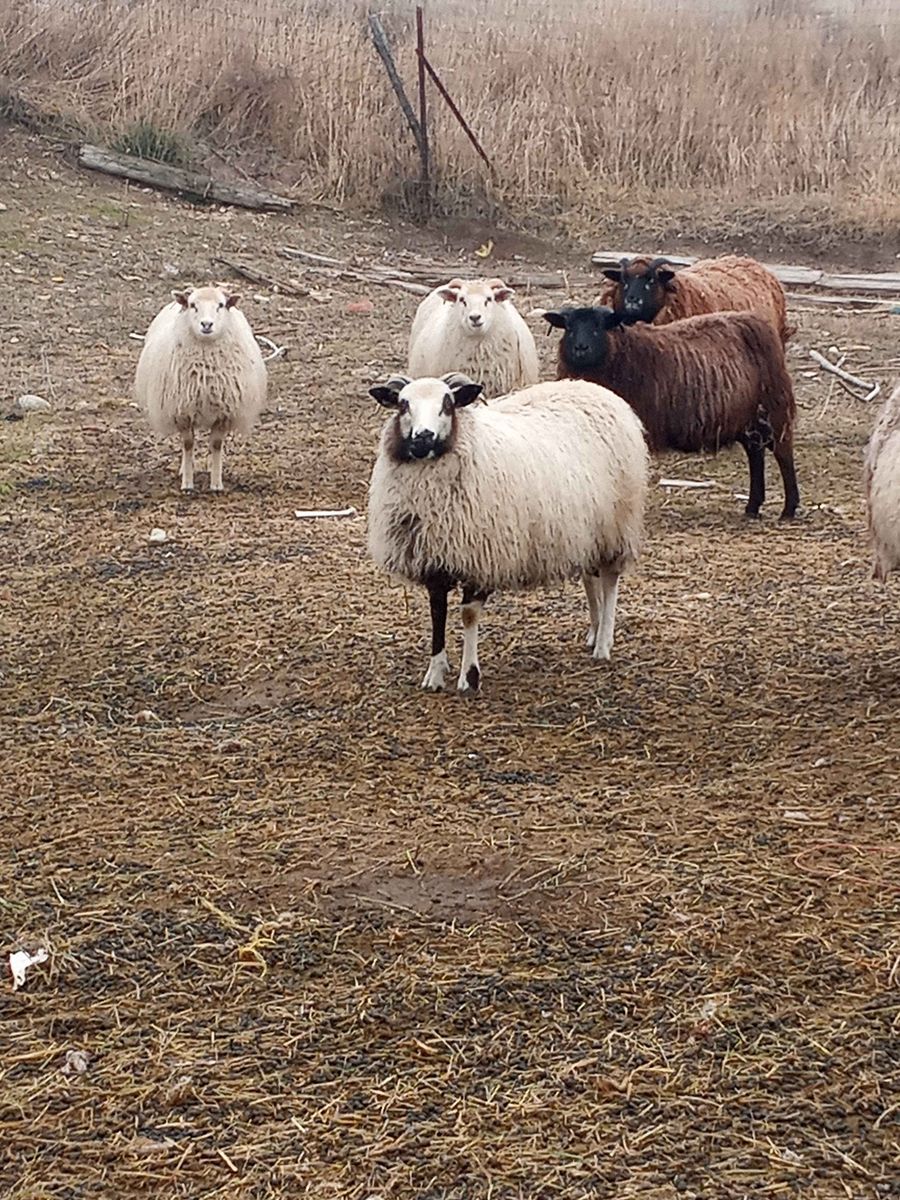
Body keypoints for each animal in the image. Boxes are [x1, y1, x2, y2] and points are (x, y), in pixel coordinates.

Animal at [135, 285, 267, 492]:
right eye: (192, 305)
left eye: (221, 305)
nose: (206, 324)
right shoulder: (182, 412)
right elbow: (188, 444)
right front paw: (187, 483)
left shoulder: (223, 413)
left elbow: (216, 445)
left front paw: (216, 483)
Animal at [367, 372, 649, 694]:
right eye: (403, 404)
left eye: (447, 404)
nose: (423, 437)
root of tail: (595, 389)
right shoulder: (435, 558)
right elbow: (437, 613)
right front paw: (435, 673)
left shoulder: (480, 559)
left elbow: (468, 615)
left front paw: (469, 677)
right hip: (586, 530)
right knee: (591, 578)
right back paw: (595, 630)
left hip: (617, 525)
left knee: (610, 582)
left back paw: (603, 644)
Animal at [544, 305, 800, 520]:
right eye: (569, 327)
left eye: (598, 326)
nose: (581, 348)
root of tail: (757, 321)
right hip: (746, 420)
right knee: (756, 455)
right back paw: (753, 507)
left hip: (774, 407)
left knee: (783, 453)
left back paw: (788, 509)